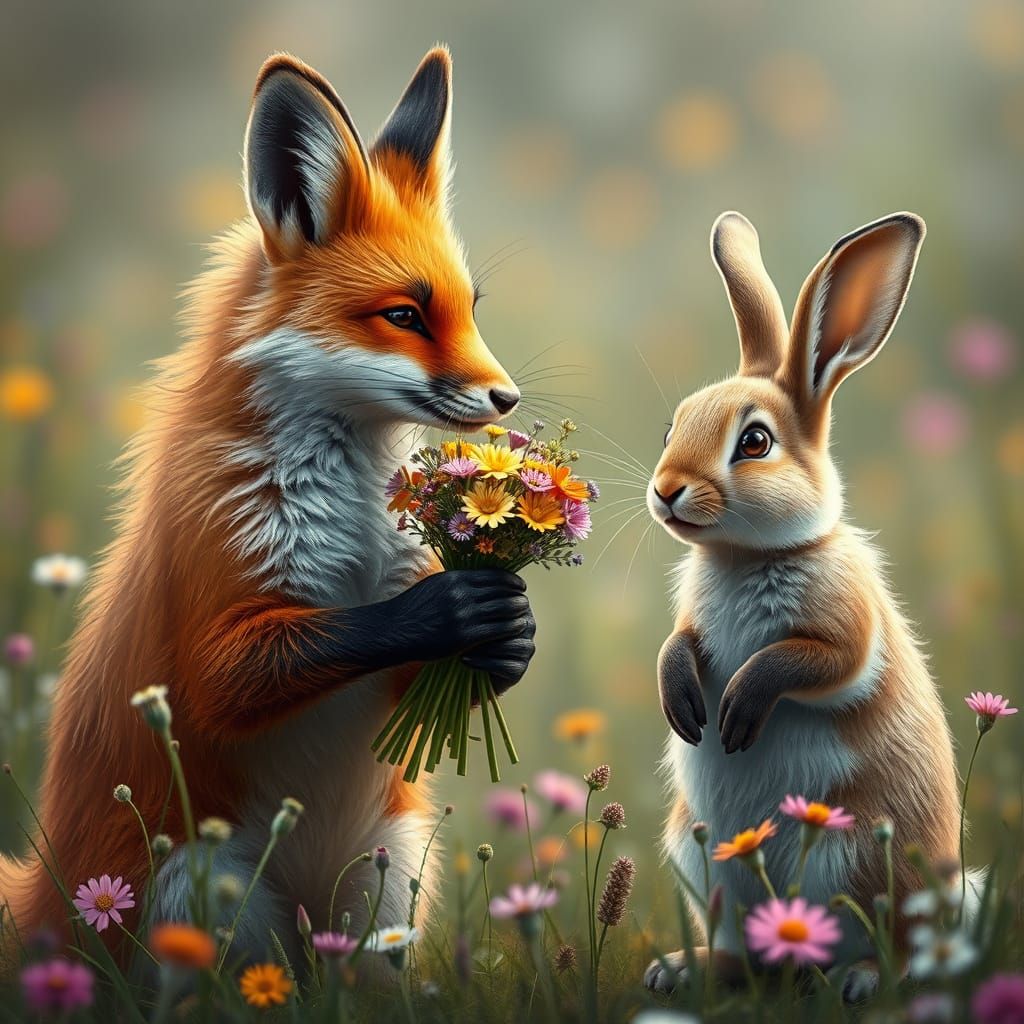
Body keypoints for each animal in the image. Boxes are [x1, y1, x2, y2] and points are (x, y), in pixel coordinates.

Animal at [0, 48, 537, 969]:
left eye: (469, 309)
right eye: (405, 315)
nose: (505, 399)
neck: (354, 525)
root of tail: (47, 901)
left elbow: (430, 677)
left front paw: (511, 634)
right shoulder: (214, 621)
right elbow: (310, 644)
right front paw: (454, 606)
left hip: (380, 900)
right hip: (201, 901)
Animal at [642, 211, 972, 1002]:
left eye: (755, 442)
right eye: (672, 426)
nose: (665, 490)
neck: (746, 553)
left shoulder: (848, 630)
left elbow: (815, 663)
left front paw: (736, 709)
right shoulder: (690, 623)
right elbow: (677, 644)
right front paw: (683, 702)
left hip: (856, 862)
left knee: (891, 946)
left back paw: (856, 981)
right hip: (703, 861)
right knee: (747, 952)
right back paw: (682, 971)